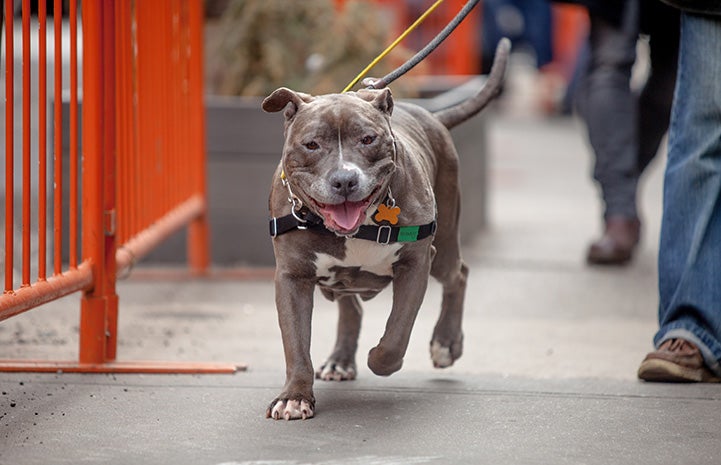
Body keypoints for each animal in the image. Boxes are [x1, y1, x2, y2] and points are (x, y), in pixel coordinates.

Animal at [262, 38, 510, 418]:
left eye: (367, 139)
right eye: (311, 144)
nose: (344, 179)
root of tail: (432, 116)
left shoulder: (416, 263)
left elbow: (396, 333)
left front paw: (380, 359)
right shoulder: (293, 277)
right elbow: (296, 344)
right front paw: (295, 396)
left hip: (443, 245)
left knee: (458, 274)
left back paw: (445, 344)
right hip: (338, 281)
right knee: (351, 306)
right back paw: (340, 361)